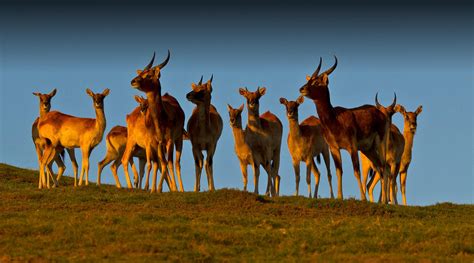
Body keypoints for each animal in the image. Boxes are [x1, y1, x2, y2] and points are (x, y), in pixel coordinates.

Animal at [126, 51, 185, 193]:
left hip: (178, 139)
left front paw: (168, 188)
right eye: (141, 73)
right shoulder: (157, 143)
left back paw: (180, 189)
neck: (161, 119)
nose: (133, 81)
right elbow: (160, 163)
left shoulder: (169, 141)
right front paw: (155, 189)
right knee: (163, 162)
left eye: (148, 75)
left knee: (176, 163)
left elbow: (167, 163)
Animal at [298, 56, 390, 203]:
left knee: (385, 167)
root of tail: (381, 113)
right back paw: (382, 201)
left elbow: (356, 171)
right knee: (380, 168)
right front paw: (339, 197)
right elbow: (338, 171)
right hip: (368, 149)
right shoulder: (334, 148)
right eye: (309, 80)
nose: (302, 89)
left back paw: (385, 201)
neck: (334, 120)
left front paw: (363, 198)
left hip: (380, 144)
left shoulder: (352, 147)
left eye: (317, 82)